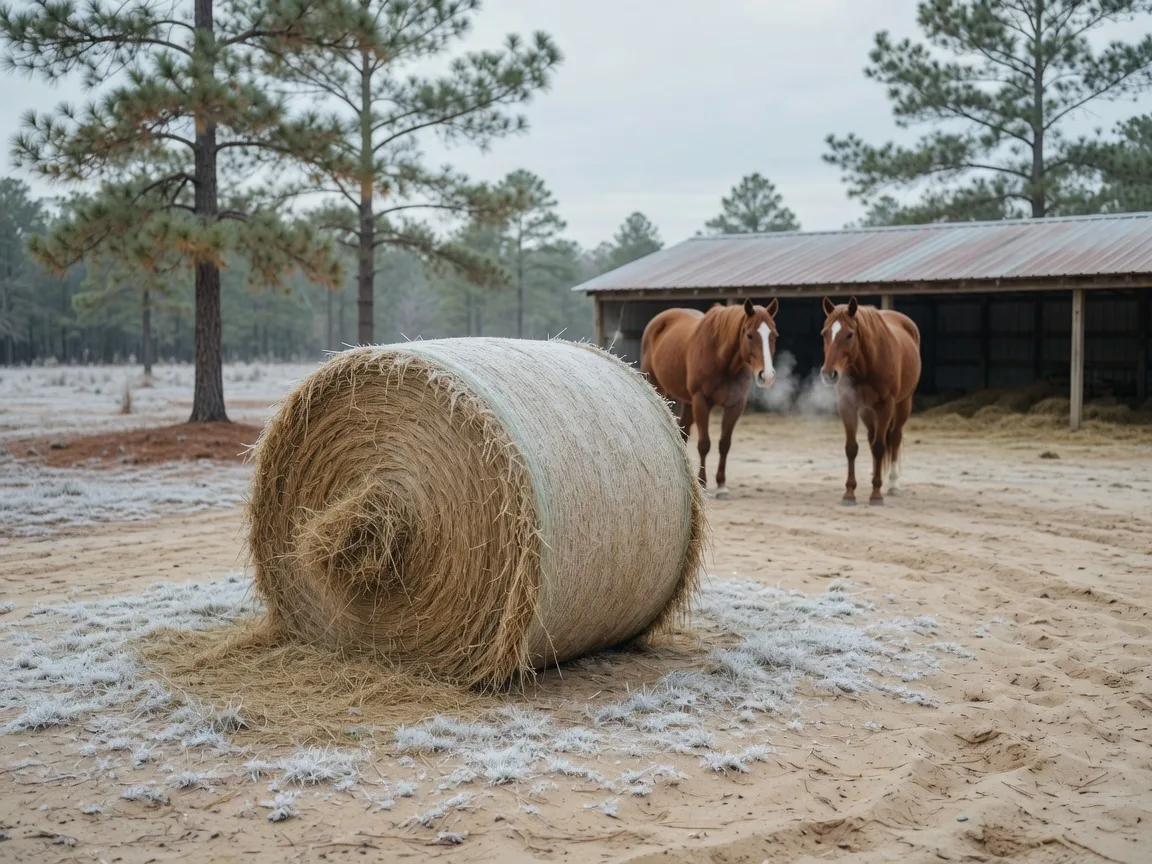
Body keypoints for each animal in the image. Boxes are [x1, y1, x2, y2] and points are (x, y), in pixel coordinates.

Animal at [640, 298, 779, 499]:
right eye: (750, 335)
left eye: (774, 335)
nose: (766, 375)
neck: (722, 360)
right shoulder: (701, 401)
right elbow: (704, 444)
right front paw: (703, 483)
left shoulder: (735, 404)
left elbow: (724, 444)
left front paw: (721, 485)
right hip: (658, 387)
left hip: (687, 402)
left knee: (683, 434)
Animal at [819, 296, 921, 506]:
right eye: (824, 333)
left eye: (850, 334)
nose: (828, 374)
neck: (866, 365)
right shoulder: (848, 405)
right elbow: (852, 448)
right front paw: (849, 493)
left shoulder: (885, 406)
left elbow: (880, 446)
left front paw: (876, 494)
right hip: (867, 411)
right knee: (872, 437)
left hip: (902, 404)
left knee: (894, 438)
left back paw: (893, 484)